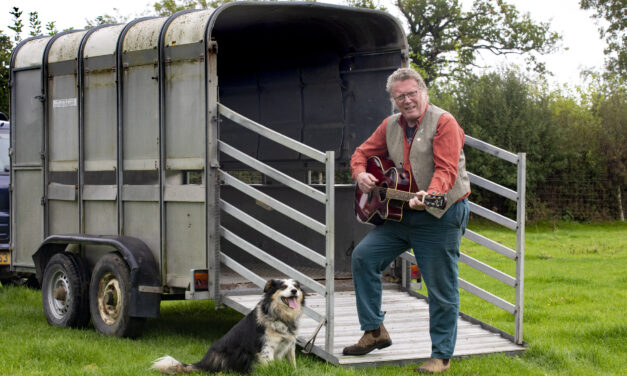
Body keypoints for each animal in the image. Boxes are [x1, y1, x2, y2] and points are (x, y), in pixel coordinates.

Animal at [153, 278, 308, 374]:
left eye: (296, 286)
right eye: (283, 287)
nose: (294, 291)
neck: (281, 316)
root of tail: (204, 363)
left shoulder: (289, 345)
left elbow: (293, 363)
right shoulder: (266, 348)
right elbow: (268, 366)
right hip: (238, 354)